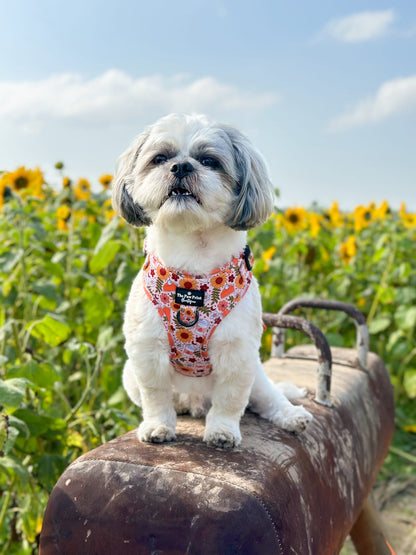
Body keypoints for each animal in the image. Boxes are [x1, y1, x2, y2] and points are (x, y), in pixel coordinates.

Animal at [111, 113, 312, 448]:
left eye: (209, 161)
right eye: (160, 158)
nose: (181, 166)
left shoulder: (237, 352)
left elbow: (230, 400)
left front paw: (222, 432)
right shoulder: (147, 350)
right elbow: (156, 396)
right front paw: (157, 427)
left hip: (257, 375)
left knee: (267, 399)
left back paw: (292, 416)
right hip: (129, 375)